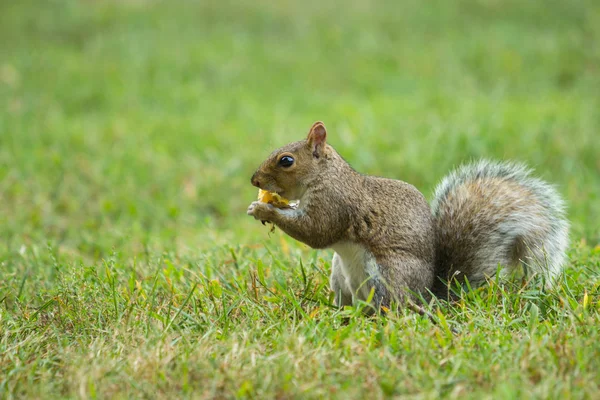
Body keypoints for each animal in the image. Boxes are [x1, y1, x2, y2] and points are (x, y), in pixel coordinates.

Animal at [246, 121, 568, 310]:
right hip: (340, 275)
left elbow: (316, 232)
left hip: (386, 275)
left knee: (393, 308)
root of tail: (428, 296)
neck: (326, 175)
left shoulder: (335, 203)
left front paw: (264, 209)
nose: (254, 180)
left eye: (286, 161)